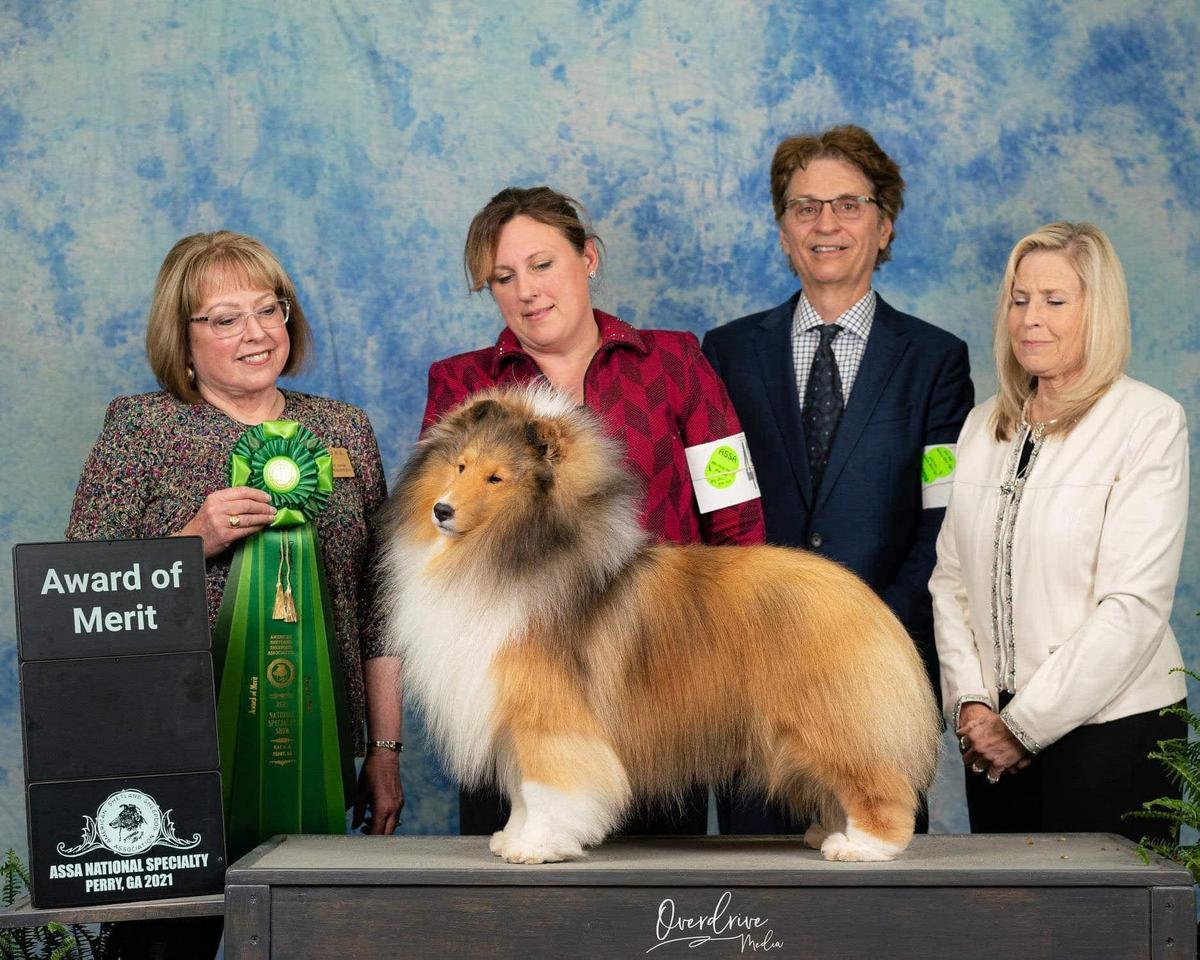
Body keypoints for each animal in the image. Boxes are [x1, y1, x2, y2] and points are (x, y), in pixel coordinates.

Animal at [379, 381, 940, 864]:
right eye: (460, 465)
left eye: (496, 478)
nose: (441, 510)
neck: (510, 554)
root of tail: (867, 599)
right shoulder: (515, 715)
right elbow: (521, 790)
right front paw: (512, 838)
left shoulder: (548, 716)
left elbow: (545, 786)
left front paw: (535, 847)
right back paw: (829, 831)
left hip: (832, 722)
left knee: (881, 789)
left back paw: (860, 846)